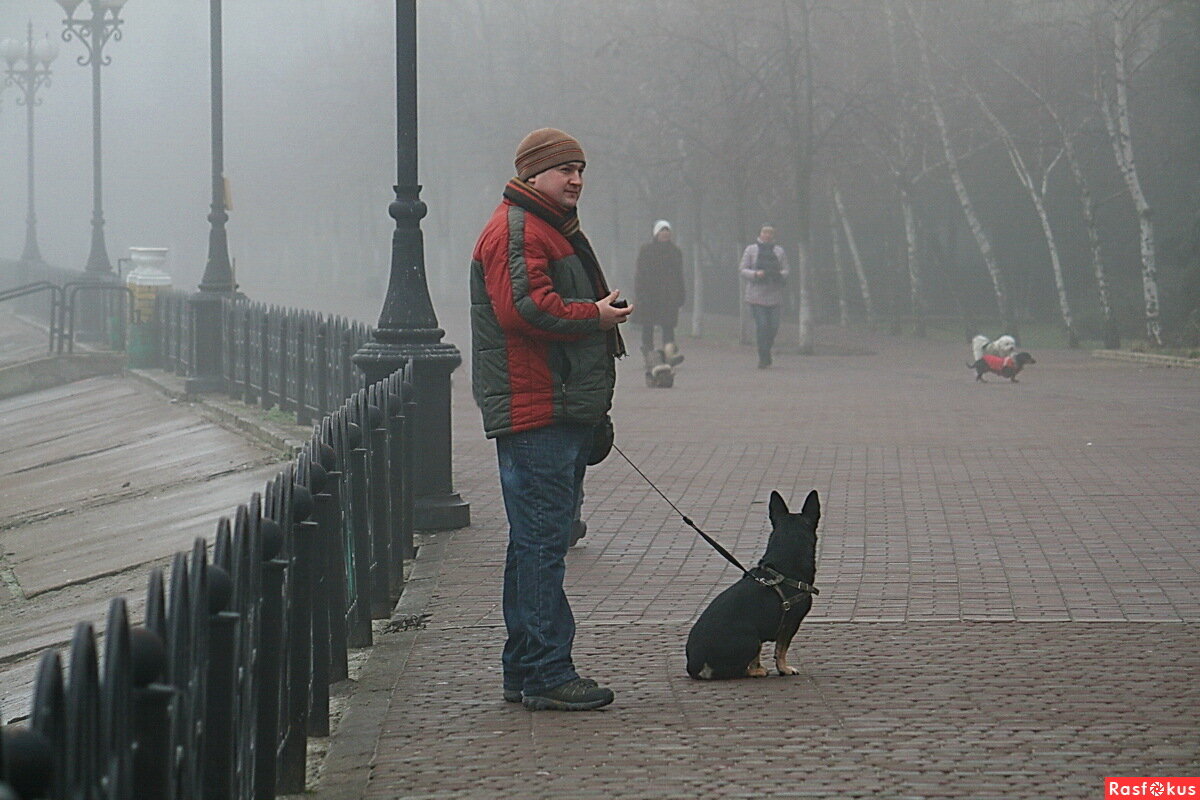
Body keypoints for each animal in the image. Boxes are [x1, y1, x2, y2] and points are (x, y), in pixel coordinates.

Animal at [691, 491, 820, 681]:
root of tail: (696, 667)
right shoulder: (790, 624)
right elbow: (781, 649)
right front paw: (783, 668)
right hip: (752, 637)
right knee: (736, 669)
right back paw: (755, 671)